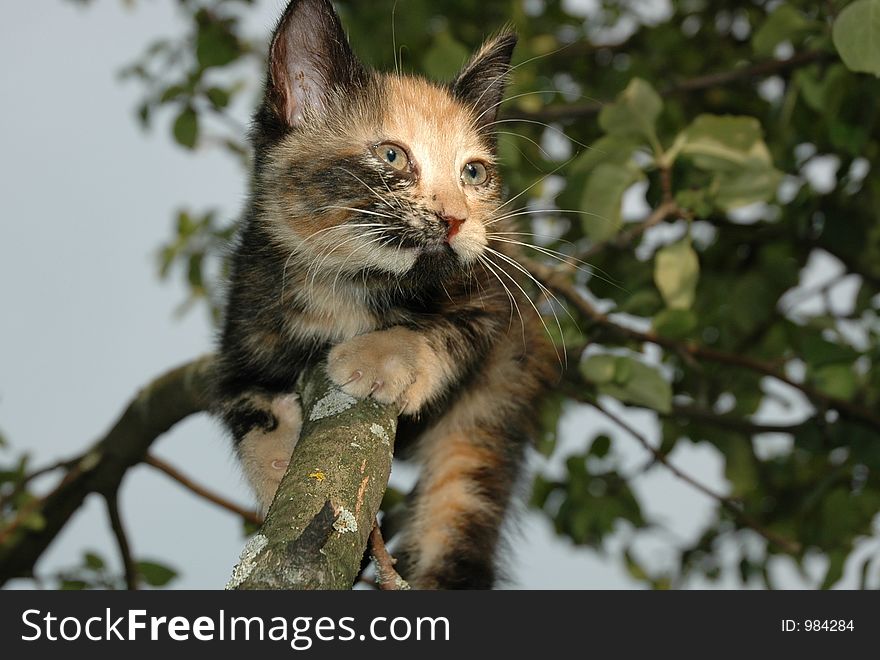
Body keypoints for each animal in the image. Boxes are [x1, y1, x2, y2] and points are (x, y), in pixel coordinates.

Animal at [216, 0, 552, 588]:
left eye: (473, 172)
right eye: (393, 156)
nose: (457, 219)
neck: (350, 280)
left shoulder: (494, 297)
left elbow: (447, 328)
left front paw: (380, 355)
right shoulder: (244, 319)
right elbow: (247, 408)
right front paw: (278, 467)